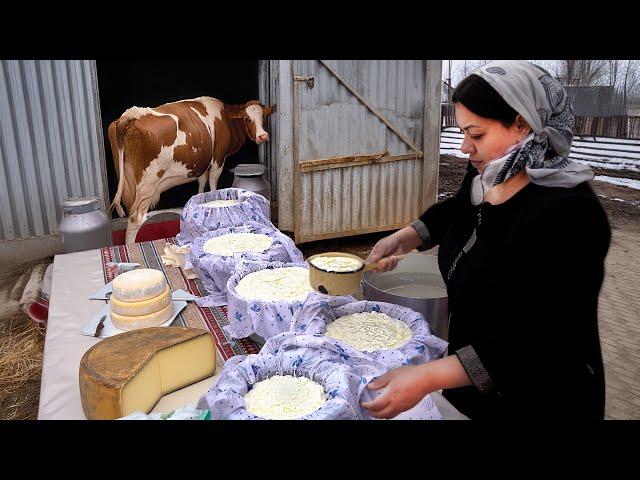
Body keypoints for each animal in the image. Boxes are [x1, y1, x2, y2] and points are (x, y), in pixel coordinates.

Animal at [107, 98, 276, 248]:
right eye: (247, 118)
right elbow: (213, 184)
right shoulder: (218, 159)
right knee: (136, 218)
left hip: (129, 181)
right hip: (148, 182)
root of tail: (130, 115)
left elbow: (201, 185)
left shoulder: (203, 165)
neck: (224, 117)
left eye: (264, 116)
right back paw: (131, 246)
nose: (263, 136)